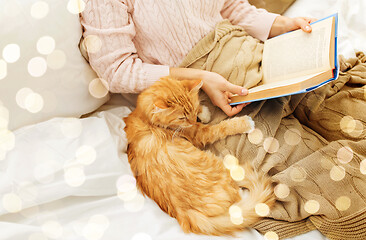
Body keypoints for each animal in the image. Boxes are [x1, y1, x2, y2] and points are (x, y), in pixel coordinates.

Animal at [123, 77, 274, 236]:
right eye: (181, 117)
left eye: (191, 111)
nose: (193, 121)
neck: (145, 117)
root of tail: (188, 214)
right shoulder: (197, 134)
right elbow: (220, 128)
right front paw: (243, 123)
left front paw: (203, 112)